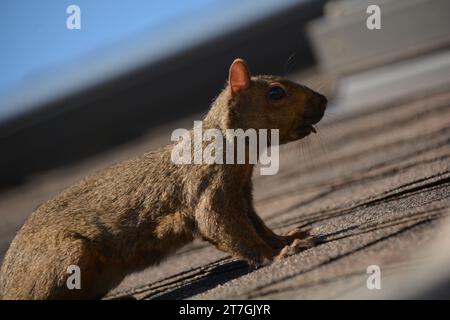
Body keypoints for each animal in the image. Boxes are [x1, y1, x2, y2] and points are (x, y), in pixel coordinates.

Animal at [0, 58, 326, 300]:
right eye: (276, 93)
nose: (323, 100)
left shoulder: (242, 193)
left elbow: (258, 225)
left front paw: (287, 238)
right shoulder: (208, 187)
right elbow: (222, 226)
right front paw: (278, 254)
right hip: (64, 256)